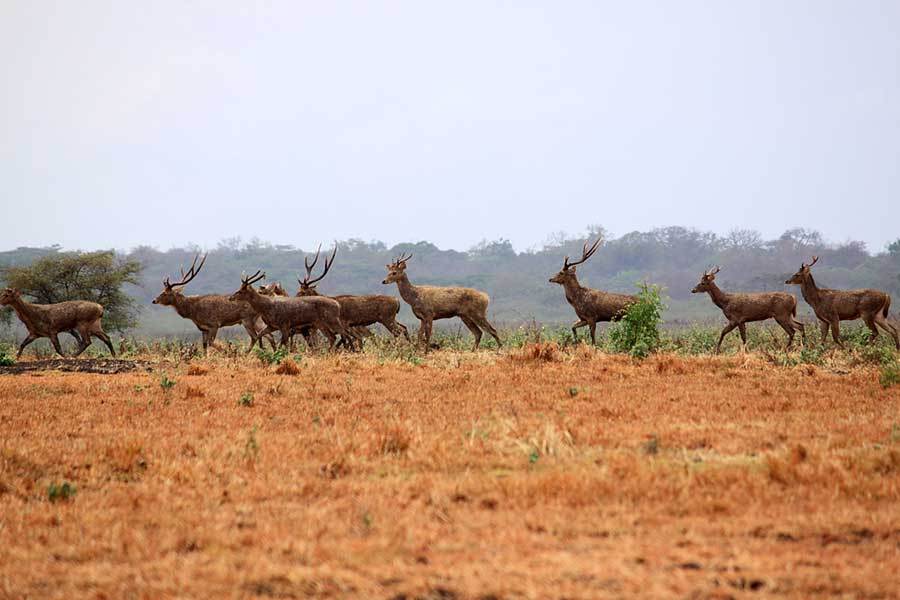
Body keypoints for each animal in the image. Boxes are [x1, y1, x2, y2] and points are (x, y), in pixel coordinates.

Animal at [227, 270, 356, 350]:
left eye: (241, 291)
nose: (230, 297)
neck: (266, 308)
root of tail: (337, 305)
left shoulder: (285, 324)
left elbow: (283, 343)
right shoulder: (272, 326)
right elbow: (258, 336)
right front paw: (250, 352)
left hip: (332, 320)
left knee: (345, 334)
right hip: (320, 323)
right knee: (333, 337)